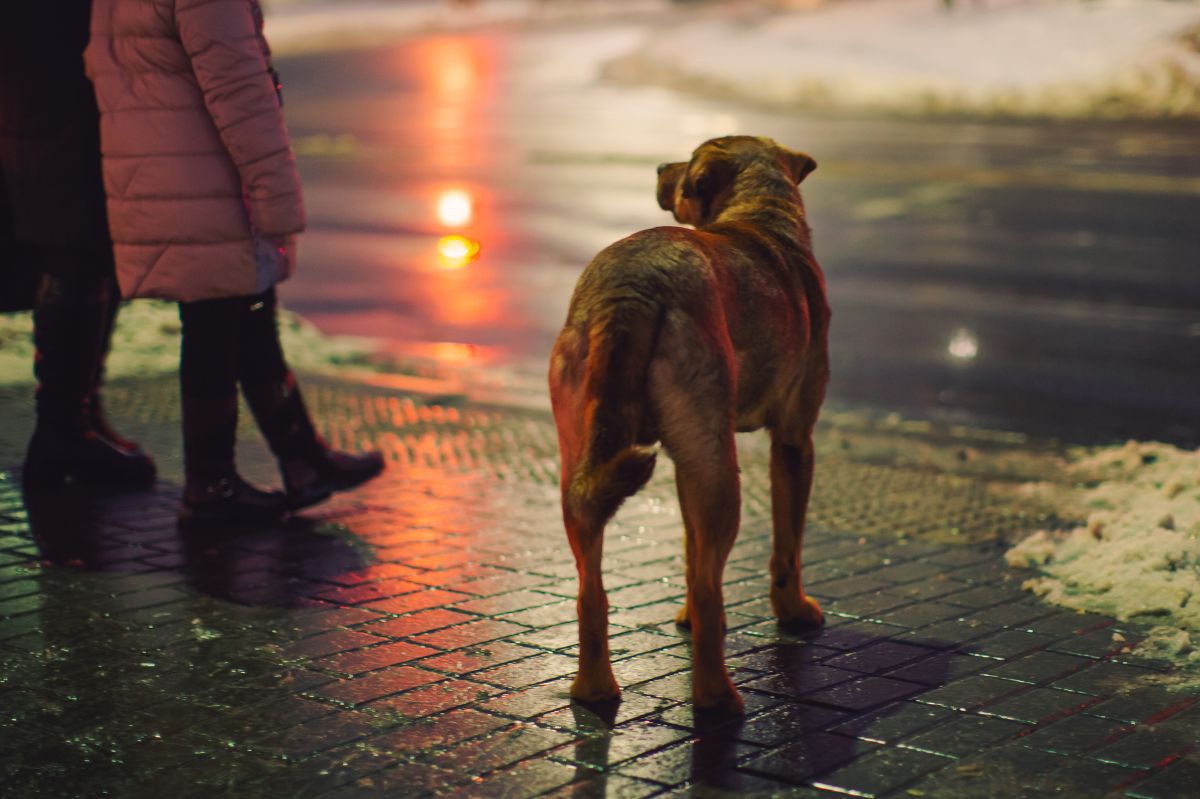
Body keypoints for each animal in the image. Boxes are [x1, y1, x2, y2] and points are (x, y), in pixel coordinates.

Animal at [549, 133, 830, 710]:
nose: (659, 165)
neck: (759, 211)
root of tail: (629, 289)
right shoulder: (794, 440)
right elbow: (786, 544)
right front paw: (794, 611)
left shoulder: (686, 462)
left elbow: (689, 548)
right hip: (723, 474)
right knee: (710, 592)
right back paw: (717, 699)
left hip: (589, 466)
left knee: (591, 591)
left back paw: (593, 690)